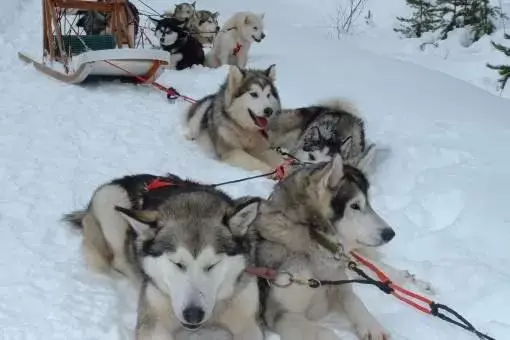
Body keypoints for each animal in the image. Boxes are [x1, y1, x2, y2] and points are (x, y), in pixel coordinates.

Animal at [61, 174, 264, 338]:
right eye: (177, 263)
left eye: (212, 264)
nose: (193, 315)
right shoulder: (154, 320)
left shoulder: (248, 319)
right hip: (109, 198)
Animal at [256, 155, 432, 340]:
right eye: (355, 206)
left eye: (369, 203)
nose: (389, 234)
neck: (313, 239)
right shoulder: (279, 312)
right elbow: (324, 332)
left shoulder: (339, 283)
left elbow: (354, 300)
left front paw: (372, 326)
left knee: (370, 263)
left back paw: (408, 279)